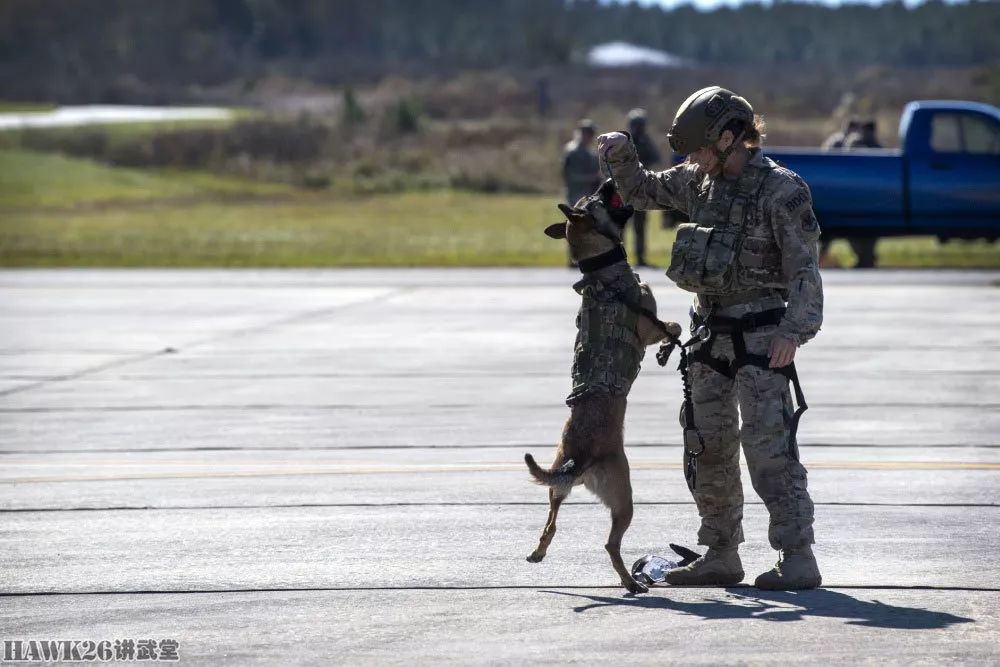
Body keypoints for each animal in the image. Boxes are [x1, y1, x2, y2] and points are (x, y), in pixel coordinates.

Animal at [524, 181, 680, 596]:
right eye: (596, 198)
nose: (609, 182)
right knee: (610, 544)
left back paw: (539, 552)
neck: (603, 271)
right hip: (624, 500)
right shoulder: (647, 325)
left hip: (556, 487)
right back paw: (631, 582)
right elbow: (671, 326)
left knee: (550, 522)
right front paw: (670, 345)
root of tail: (578, 460)